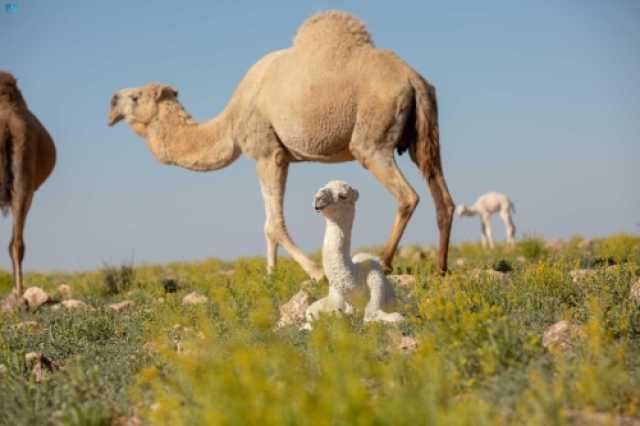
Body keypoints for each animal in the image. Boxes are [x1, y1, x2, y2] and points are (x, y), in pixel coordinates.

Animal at [107, 10, 452, 280]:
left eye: (135, 97)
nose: (111, 103)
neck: (233, 118)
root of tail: (412, 77)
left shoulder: (267, 152)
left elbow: (273, 223)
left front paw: (316, 272)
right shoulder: (282, 156)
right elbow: (268, 223)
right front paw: (270, 277)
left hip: (371, 139)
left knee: (407, 195)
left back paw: (385, 263)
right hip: (423, 136)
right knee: (443, 197)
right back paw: (440, 269)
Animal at [304, 181, 404, 326]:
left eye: (343, 196)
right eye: (322, 187)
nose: (318, 198)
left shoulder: (377, 286)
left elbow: (378, 316)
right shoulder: (334, 298)